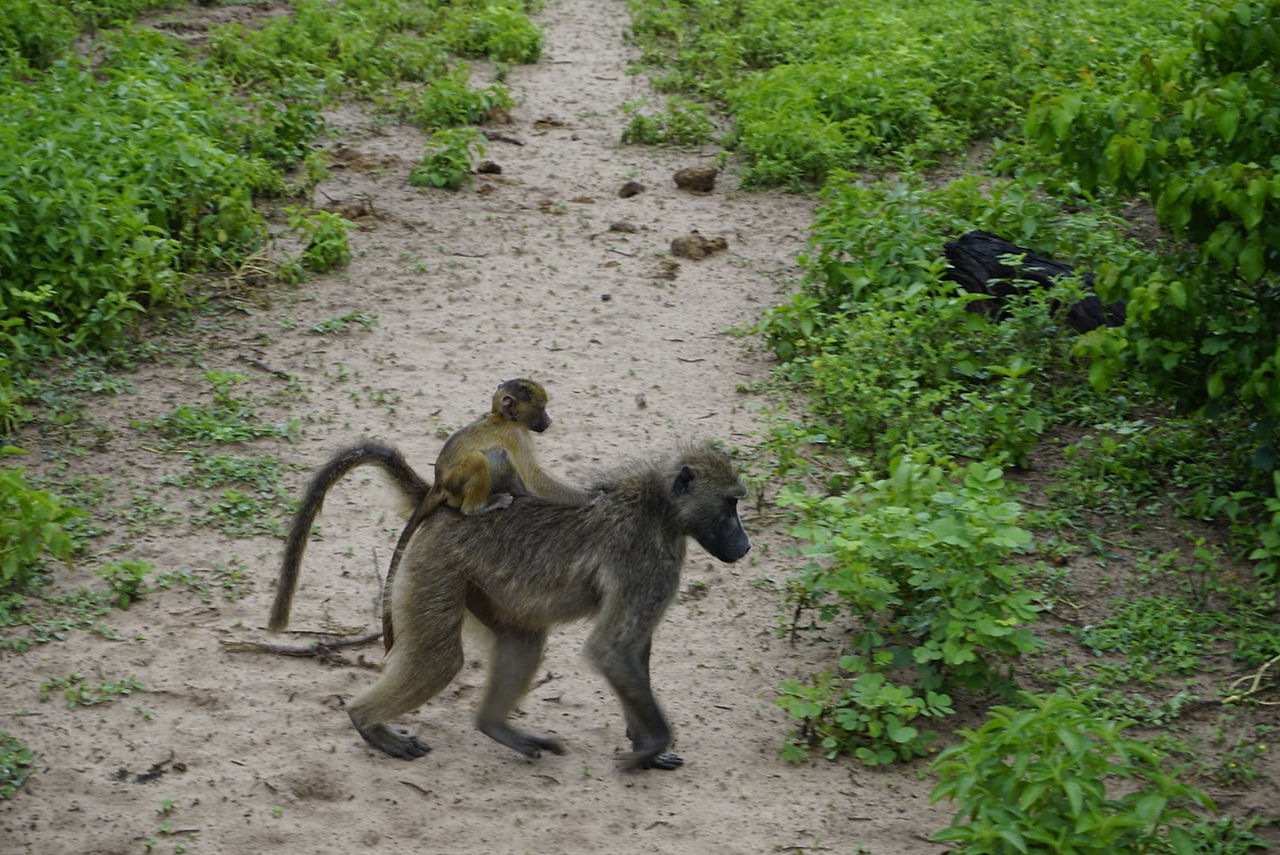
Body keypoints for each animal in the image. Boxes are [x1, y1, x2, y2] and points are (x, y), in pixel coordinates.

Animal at [269, 441, 751, 771]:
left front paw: (644, 747)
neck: (661, 506)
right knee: (440, 661)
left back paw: (496, 727)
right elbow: (613, 650)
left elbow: (632, 653)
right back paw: (368, 722)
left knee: (523, 641)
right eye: (731, 503)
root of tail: (449, 503)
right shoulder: (646, 564)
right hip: (436, 567)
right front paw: (650, 748)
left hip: (479, 588)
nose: (744, 545)